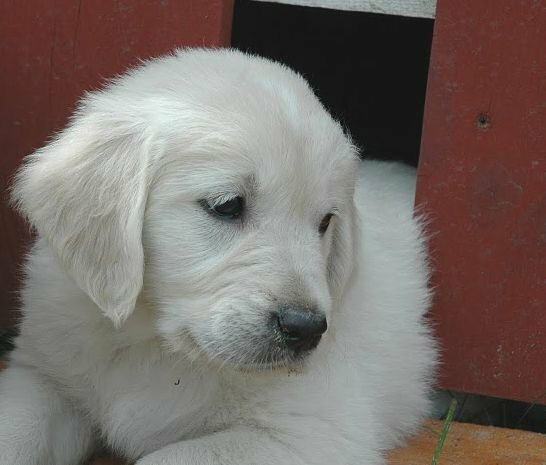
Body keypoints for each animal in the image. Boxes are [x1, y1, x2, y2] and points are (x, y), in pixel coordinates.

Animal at [0, 48, 434, 464]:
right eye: (226, 205)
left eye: (325, 221)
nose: (307, 329)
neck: (155, 344)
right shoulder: (41, 376)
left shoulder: (313, 433)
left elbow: (164, 459)